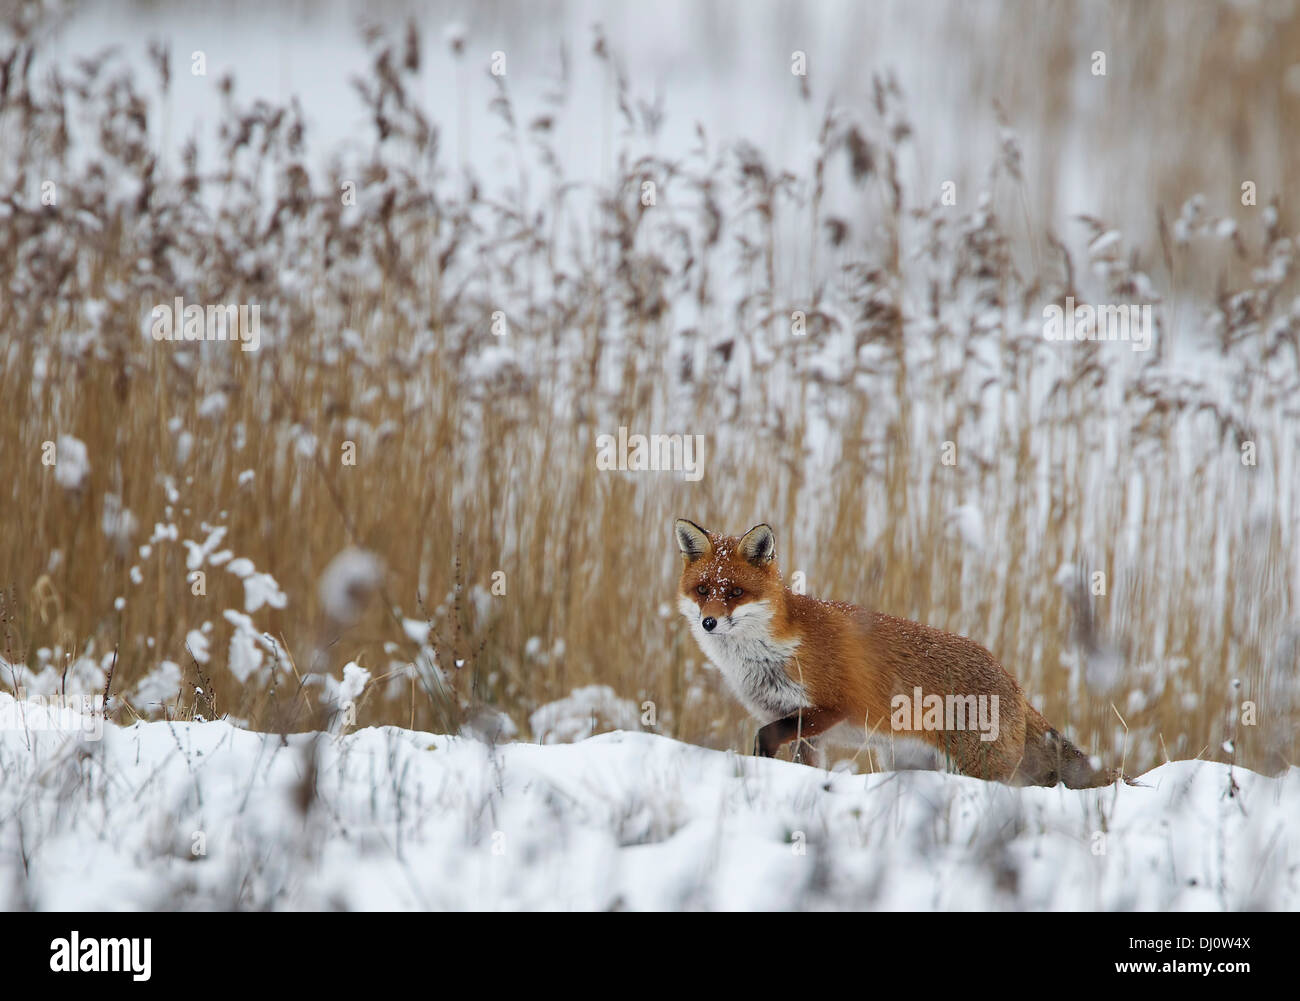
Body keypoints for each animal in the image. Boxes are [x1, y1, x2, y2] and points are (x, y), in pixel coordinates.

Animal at [681, 520, 1118, 785]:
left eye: (735, 593)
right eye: (703, 590)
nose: (709, 623)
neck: (768, 653)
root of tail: (1014, 682)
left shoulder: (835, 705)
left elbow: (765, 735)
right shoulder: (804, 728)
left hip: (981, 767)